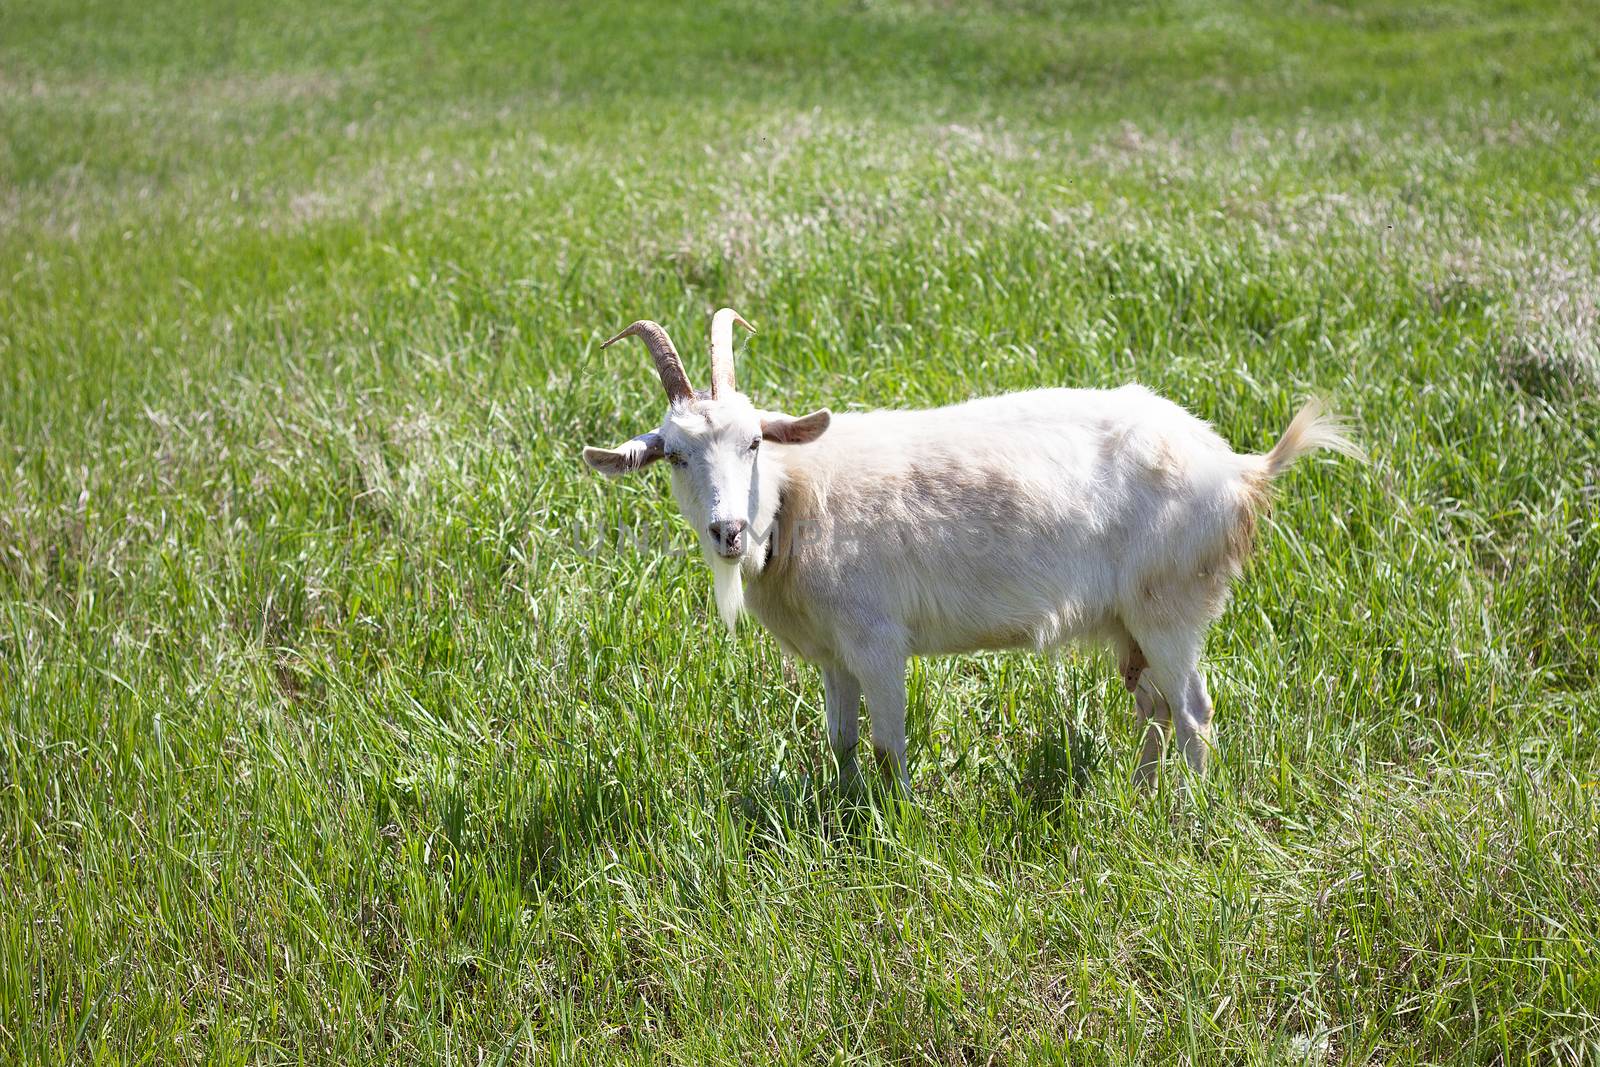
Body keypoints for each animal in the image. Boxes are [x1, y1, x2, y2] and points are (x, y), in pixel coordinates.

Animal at [588, 308, 1363, 783]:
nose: (728, 531)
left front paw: (895, 822)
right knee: (1156, 709)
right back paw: (1143, 793)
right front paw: (841, 807)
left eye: (753, 441)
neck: (796, 497)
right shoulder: (834, 652)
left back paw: (1189, 810)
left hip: (1169, 604)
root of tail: (1240, 470)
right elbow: (841, 739)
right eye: (675, 455)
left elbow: (889, 741)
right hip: (1131, 619)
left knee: (1194, 712)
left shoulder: (878, 639)